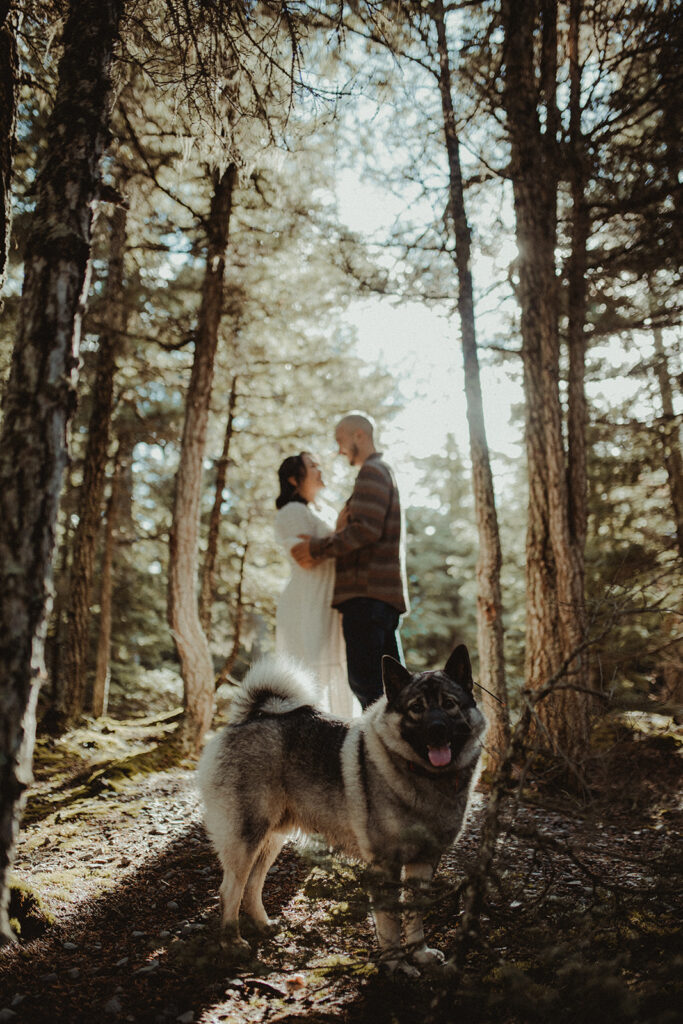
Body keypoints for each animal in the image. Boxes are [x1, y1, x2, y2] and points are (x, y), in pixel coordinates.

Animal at [196, 643, 485, 970]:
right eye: (416, 708)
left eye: (449, 704)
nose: (437, 729)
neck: (426, 779)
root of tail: (250, 717)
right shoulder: (385, 866)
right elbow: (390, 921)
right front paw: (396, 964)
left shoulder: (424, 862)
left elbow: (414, 914)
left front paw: (419, 952)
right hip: (245, 837)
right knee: (229, 890)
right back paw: (232, 942)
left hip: (271, 839)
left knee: (251, 886)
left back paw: (263, 925)